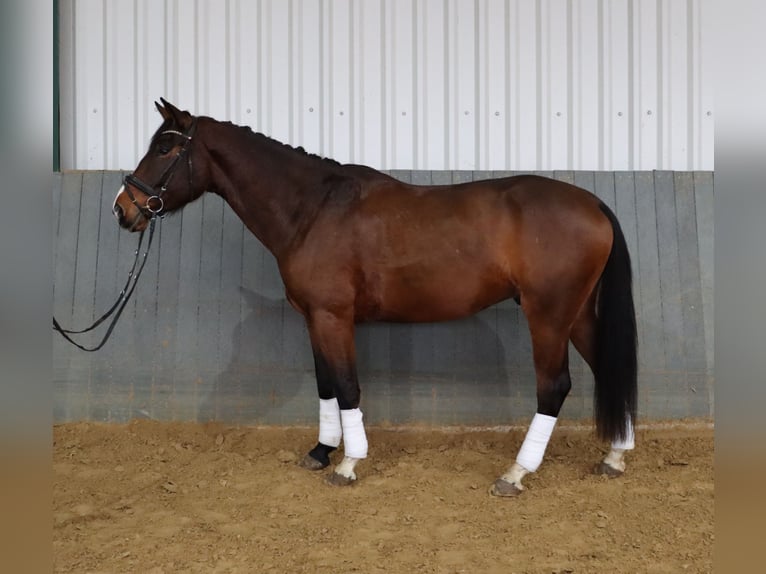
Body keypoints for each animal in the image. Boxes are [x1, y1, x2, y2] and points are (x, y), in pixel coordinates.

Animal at [113, 99, 637, 496]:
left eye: (164, 147)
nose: (124, 210)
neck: (314, 208)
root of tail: (592, 203)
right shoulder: (315, 319)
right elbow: (326, 383)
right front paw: (321, 452)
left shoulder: (333, 317)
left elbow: (347, 386)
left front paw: (349, 464)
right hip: (577, 316)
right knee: (606, 368)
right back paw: (613, 457)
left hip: (548, 315)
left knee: (553, 387)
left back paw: (515, 474)